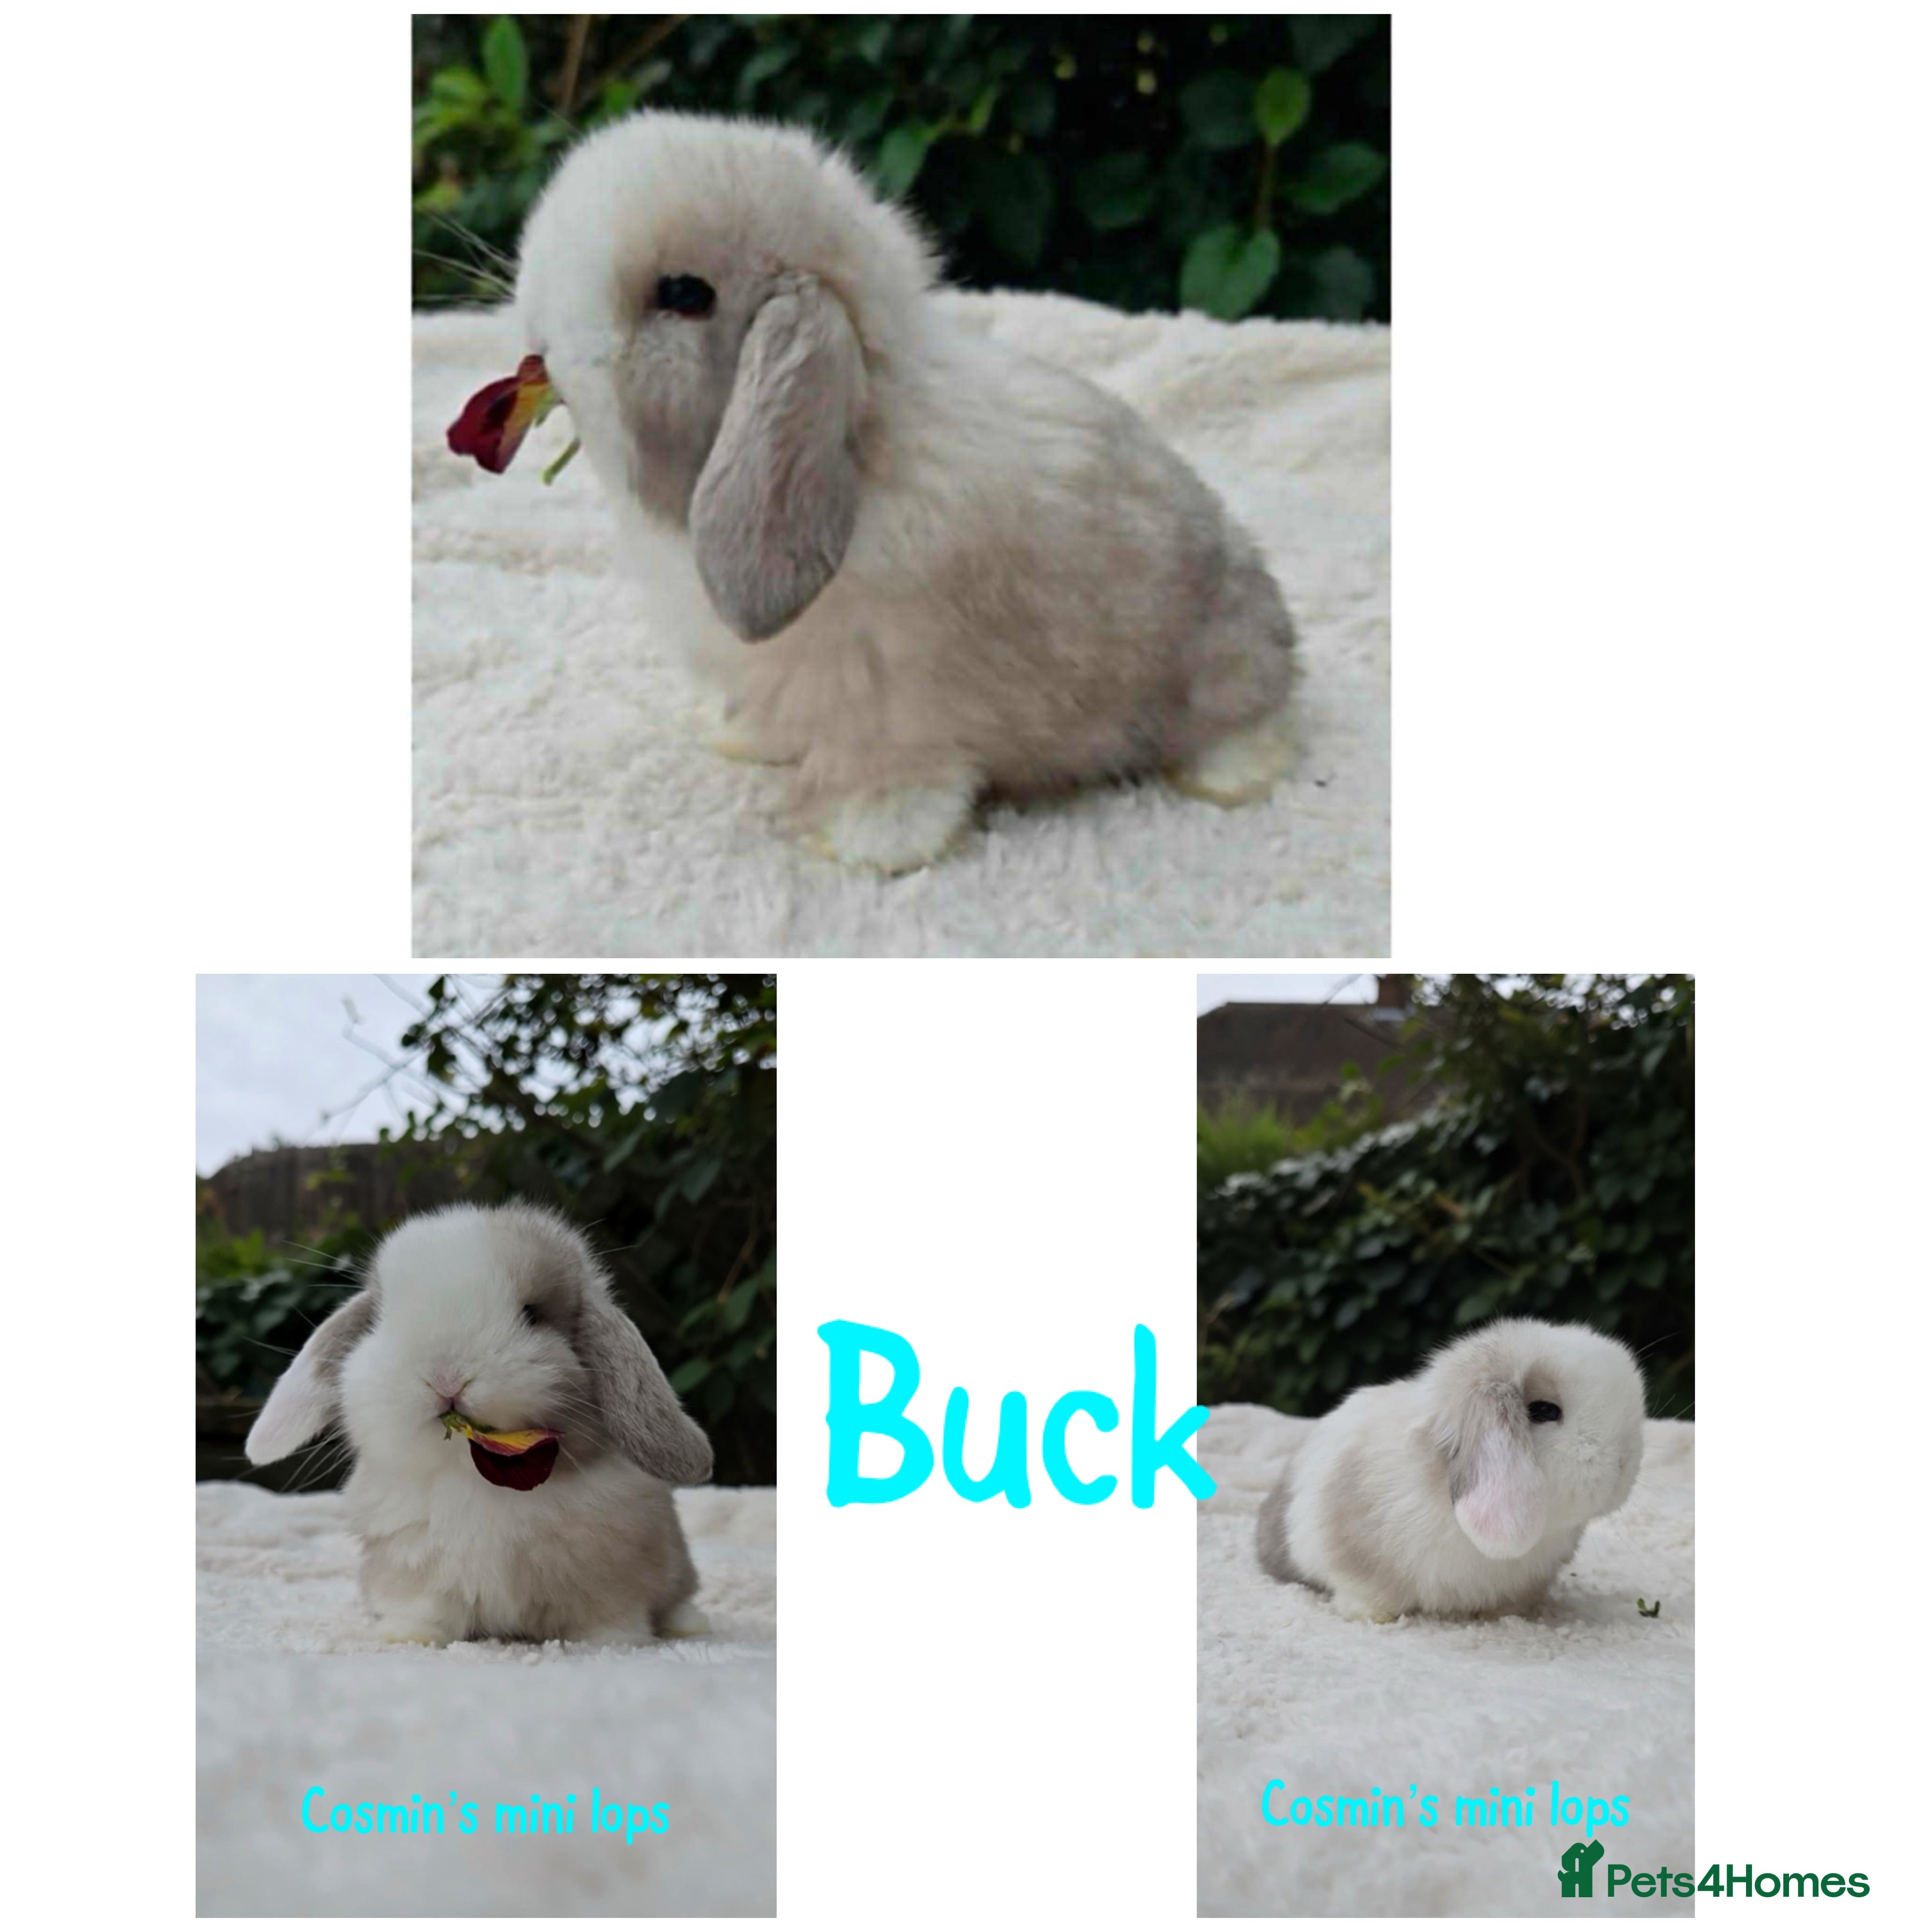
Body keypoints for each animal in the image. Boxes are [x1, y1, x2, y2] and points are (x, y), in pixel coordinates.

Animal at [244, 1202, 714, 1645]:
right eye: (380, 1320)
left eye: (532, 1314)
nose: (446, 1377)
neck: (470, 1477)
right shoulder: (414, 1572)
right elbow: (422, 1609)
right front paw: (406, 1636)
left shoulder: (610, 1576)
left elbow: (608, 1618)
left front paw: (614, 1645)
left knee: (680, 1598)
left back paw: (689, 1626)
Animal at [511, 110, 1298, 873]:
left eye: (683, 294)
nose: (542, 342)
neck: (867, 447)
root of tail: (1276, 624)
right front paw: (741, 739)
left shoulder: (900, 708)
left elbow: (903, 781)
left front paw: (864, 845)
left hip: (1219, 674)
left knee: (1252, 729)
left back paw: (1225, 780)